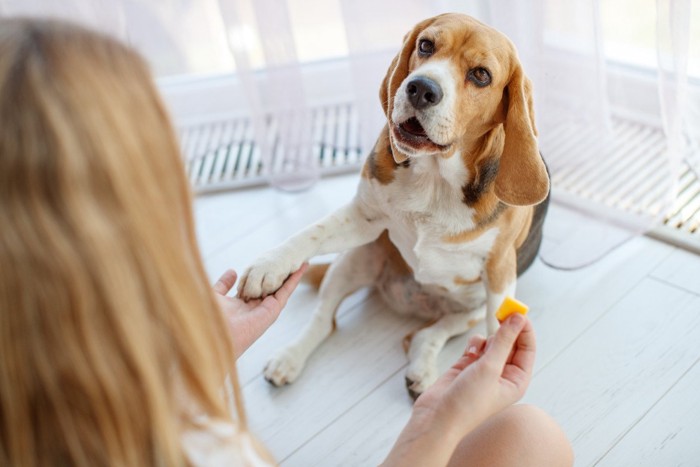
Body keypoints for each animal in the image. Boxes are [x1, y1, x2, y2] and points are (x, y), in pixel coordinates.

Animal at [238, 14, 548, 400]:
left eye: (481, 75)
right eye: (426, 45)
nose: (420, 89)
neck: (435, 179)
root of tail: (411, 301)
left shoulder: (500, 271)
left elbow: (496, 328)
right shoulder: (364, 218)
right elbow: (310, 234)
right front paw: (269, 265)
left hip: (471, 305)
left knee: (427, 333)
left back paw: (421, 367)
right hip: (358, 257)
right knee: (325, 320)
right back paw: (289, 358)